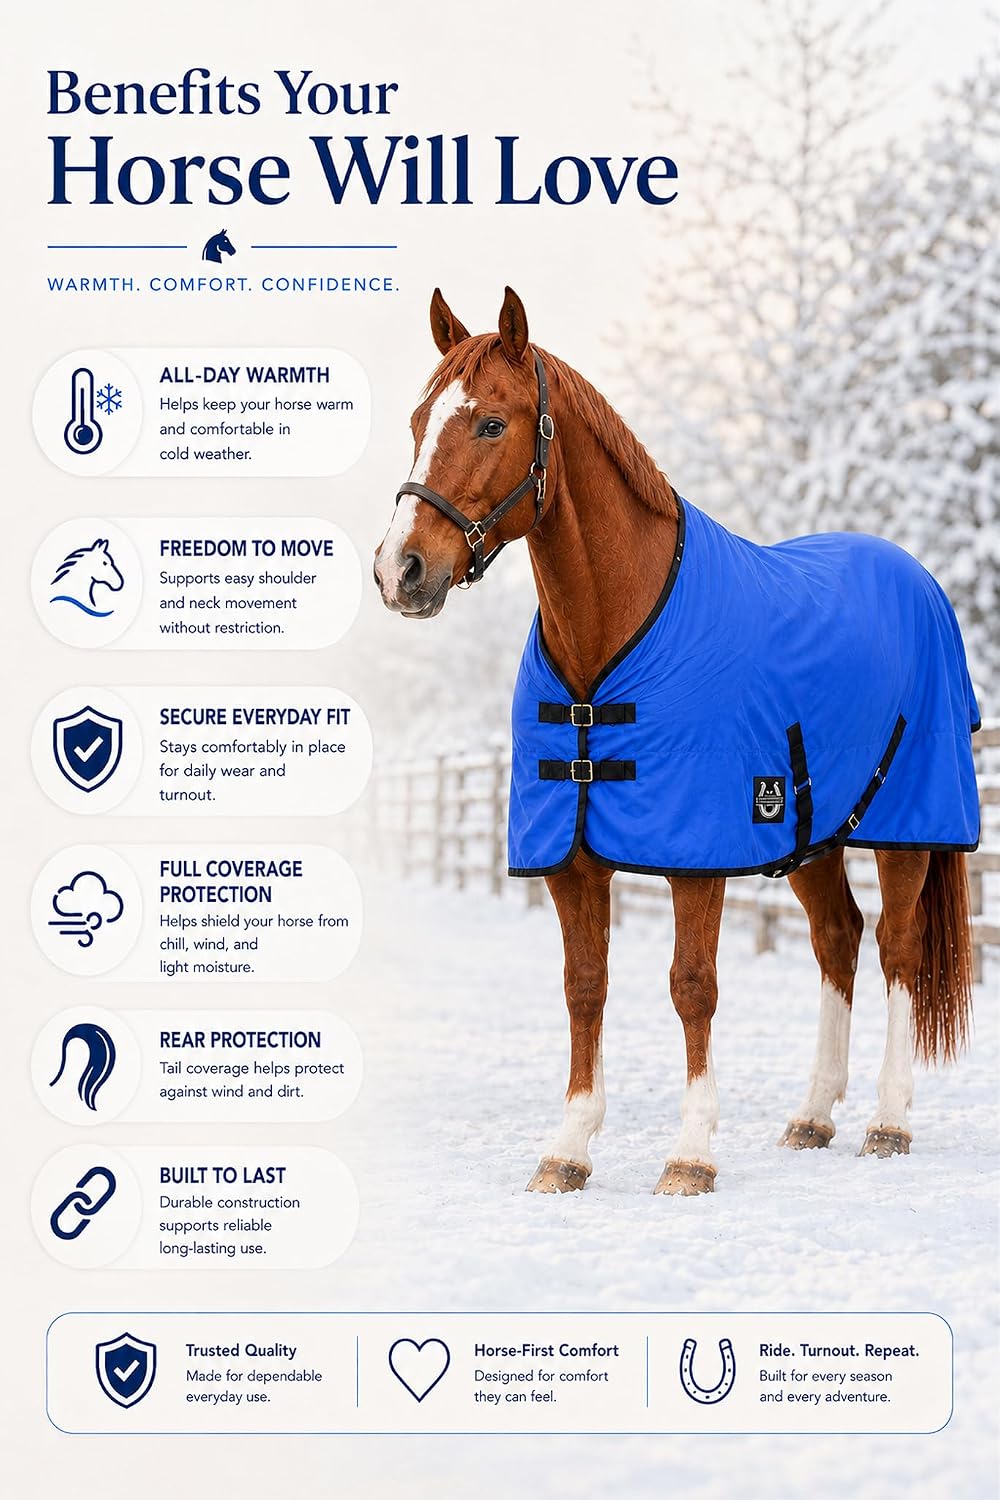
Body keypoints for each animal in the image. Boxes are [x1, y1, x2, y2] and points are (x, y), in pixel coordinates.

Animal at [374, 287, 979, 1196]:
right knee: (838, 939)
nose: (400, 570)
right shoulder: (571, 857)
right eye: (418, 419)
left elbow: (692, 985)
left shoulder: (698, 855)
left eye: (490, 423)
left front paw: (691, 1155)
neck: (609, 643)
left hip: (906, 823)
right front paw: (568, 1149)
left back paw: (888, 1122)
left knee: (897, 950)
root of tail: (917, 577)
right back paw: (813, 1115)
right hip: (812, 833)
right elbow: (584, 986)